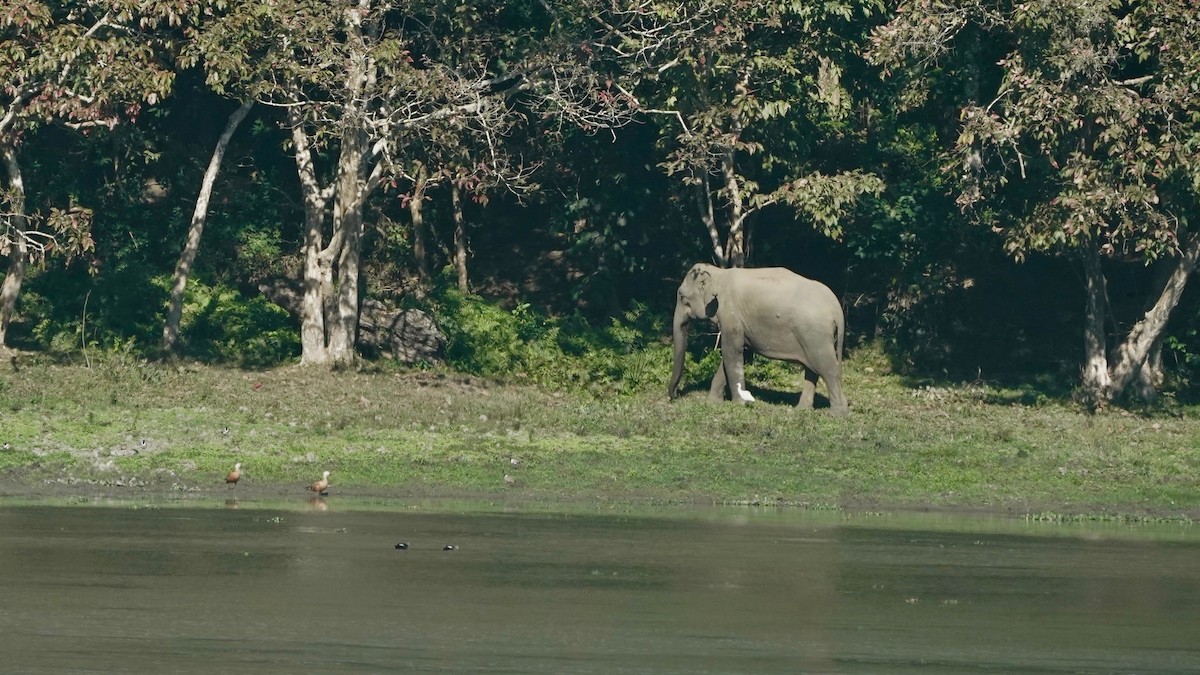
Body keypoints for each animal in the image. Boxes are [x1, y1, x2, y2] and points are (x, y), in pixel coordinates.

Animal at [667, 263, 854, 415]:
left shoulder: (730, 314)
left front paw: (739, 404)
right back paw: (802, 410)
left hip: (816, 335)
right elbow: (736, 353)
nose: (674, 396)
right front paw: (713, 403)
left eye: (682, 297)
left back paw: (837, 414)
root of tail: (837, 309)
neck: (719, 274)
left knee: (827, 368)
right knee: (812, 369)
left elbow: (731, 351)